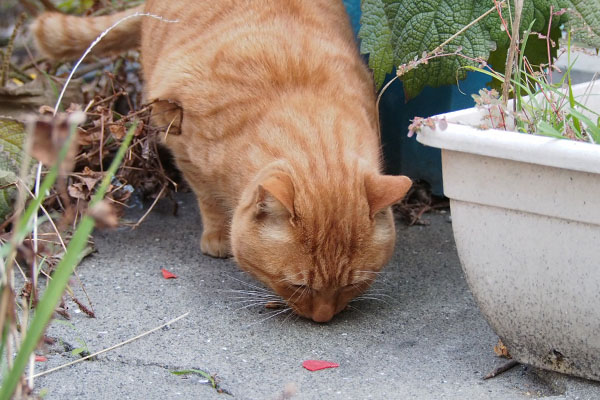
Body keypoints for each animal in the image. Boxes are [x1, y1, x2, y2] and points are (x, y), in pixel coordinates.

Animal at [32, 1, 412, 322]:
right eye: (298, 285)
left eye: (351, 285)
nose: (323, 319)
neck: (300, 105)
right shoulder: (180, 140)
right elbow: (208, 198)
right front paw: (218, 236)